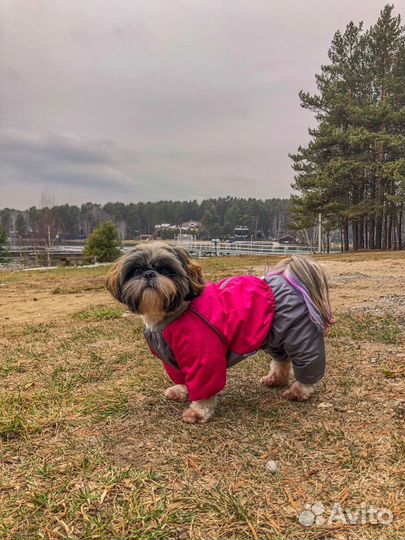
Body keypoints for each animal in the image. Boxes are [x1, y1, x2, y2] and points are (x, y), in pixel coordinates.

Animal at [105, 240, 332, 422]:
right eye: (136, 271)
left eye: (168, 271)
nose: (149, 273)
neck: (171, 315)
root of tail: (288, 280)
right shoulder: (171, 359)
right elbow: (180, 377)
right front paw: (180, 391)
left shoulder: (204, 358)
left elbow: (204, 385)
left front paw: (198, 412)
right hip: (274, 336)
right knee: (281, 360)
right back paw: (275, 379)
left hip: (299, 336)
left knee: (308, 364)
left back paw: (300, 391)